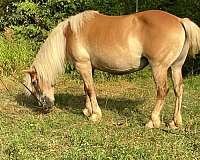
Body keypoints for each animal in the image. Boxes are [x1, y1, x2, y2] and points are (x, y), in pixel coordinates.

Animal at [23, 10, 200, 129]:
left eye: (34, 82)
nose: (44, 107)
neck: (69, 33)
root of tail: (179, 20)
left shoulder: (82, 65)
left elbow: (90, 89)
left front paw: (95, 115)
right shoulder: (89, 67)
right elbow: (86, 89)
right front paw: (87, 111)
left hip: (159, 67)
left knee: (162, 91)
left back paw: (152, 121)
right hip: (176, 67)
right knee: (178, 90)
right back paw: (175, 122)